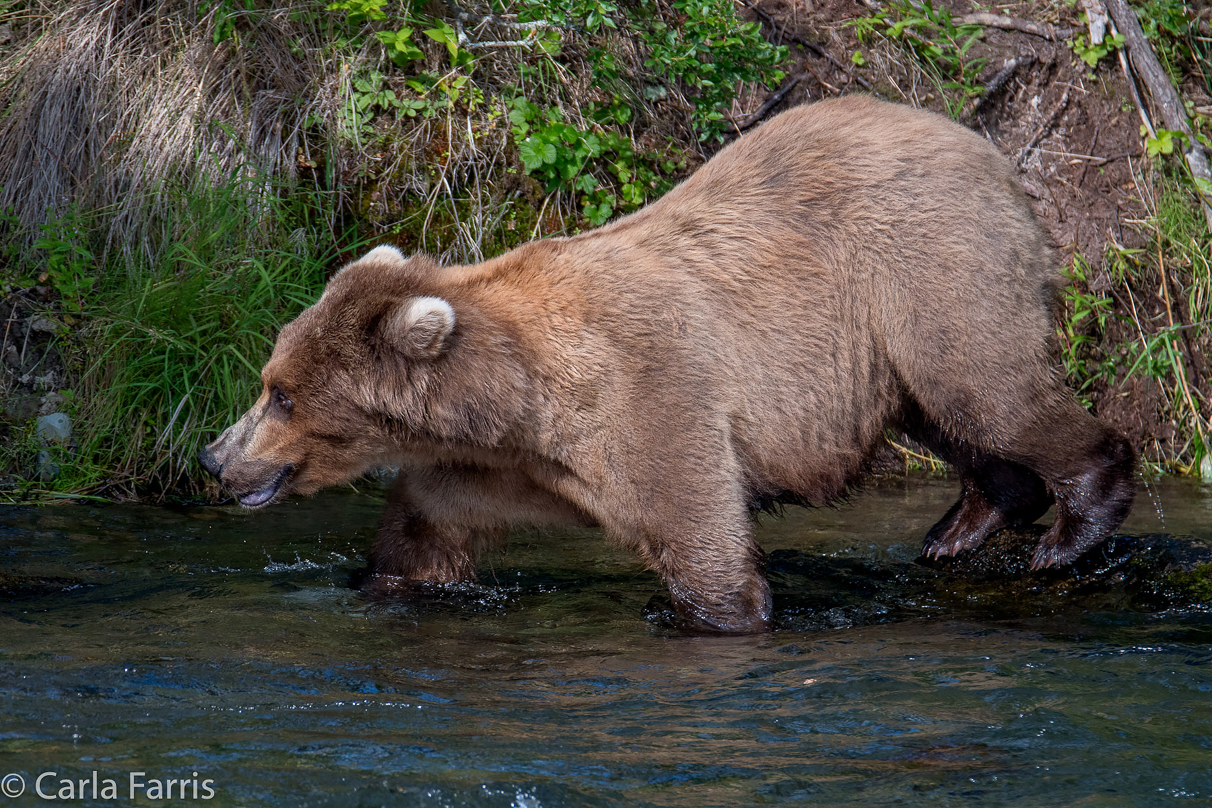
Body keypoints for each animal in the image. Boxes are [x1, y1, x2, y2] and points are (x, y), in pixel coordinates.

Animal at [198, 96, 1134, 629]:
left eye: (281, 396)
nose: (212, 457)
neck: (524, 400)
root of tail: (992, 154)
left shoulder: (649, 395)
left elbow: (701, 538)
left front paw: (729, 614)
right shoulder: (520, 467)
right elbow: (429, 525)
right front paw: (386, 581)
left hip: (930, 270)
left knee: (988, 391)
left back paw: (1068, 530)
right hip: (886, 339)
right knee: (946, 414)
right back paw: (958, 529)